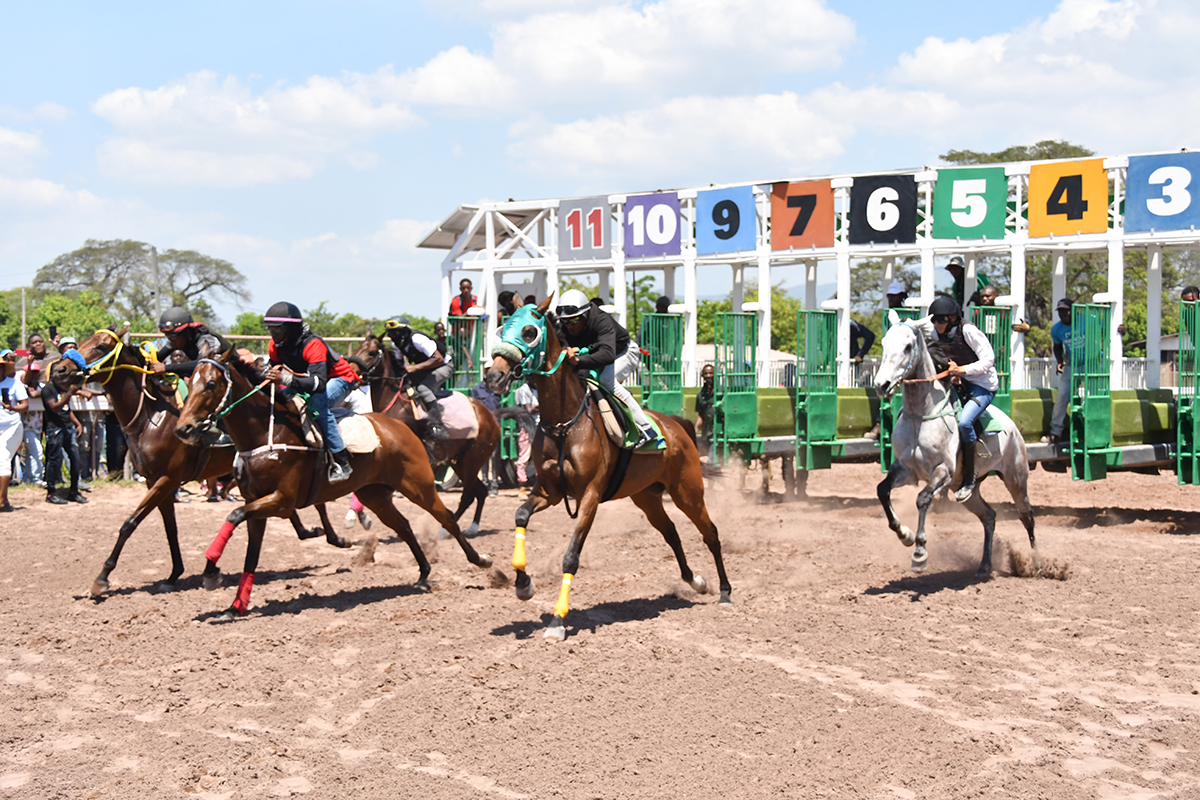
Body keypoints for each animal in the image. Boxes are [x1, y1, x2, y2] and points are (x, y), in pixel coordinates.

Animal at [57, 328, 348, 597]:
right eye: (83, 341)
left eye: (101, 346)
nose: (60, 369)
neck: (151, 417)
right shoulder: (155, 481)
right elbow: (170, 529)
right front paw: (174, 574)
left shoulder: (167, 478)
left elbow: (130, 522)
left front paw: (103, 577)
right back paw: (317, 532)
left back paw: (332, 535)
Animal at [174, 347, 492, 618]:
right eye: (190, 381)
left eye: (211, 384)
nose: (183, 428)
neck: (267, 434)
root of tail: (402, 425)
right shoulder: (258, 504)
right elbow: (250, 553)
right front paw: (235, 606)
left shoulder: (281, 501)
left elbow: (234, 514)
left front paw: (211, 572)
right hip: (374, 494)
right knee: (403, 525)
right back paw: (424, 573)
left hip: (419, 484)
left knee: (447, 515)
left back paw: (480, 560)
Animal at [348, 335, 501, 534]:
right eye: (358, 348)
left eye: (372, 352)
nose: (351, 371)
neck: (394, 402)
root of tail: (491, 417)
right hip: (460, 461)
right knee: (480, 491)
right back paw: (469, 527)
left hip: (473, 459)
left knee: (468, 495)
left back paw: (448, 531)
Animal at [480, 297, 724, 642]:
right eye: (502, 329)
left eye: (529, 331)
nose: (494, 377)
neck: (565, 423)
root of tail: (676, 425)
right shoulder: (550, 491)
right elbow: (520, 516)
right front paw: (524, 585)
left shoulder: (590, 496)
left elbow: (571, 557)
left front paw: (557, 621)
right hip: (647, 497)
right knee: (672, 534)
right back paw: (695, 581)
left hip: (687, 491)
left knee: (710, 532)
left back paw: (725, 591)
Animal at [868, 309, 1036, 578]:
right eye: (884, 343)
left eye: (907, 347)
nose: (881, 385)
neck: (921, 414)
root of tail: (1012, 427)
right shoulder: (906, 469)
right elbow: (882, 490)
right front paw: (905, 534)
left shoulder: (943, 471)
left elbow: (922, 499)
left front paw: (919, 552)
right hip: (967, 490)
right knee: (989, 516)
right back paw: (984, 565)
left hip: (1016, 479)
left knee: (1026, 515)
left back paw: (1037, 561)